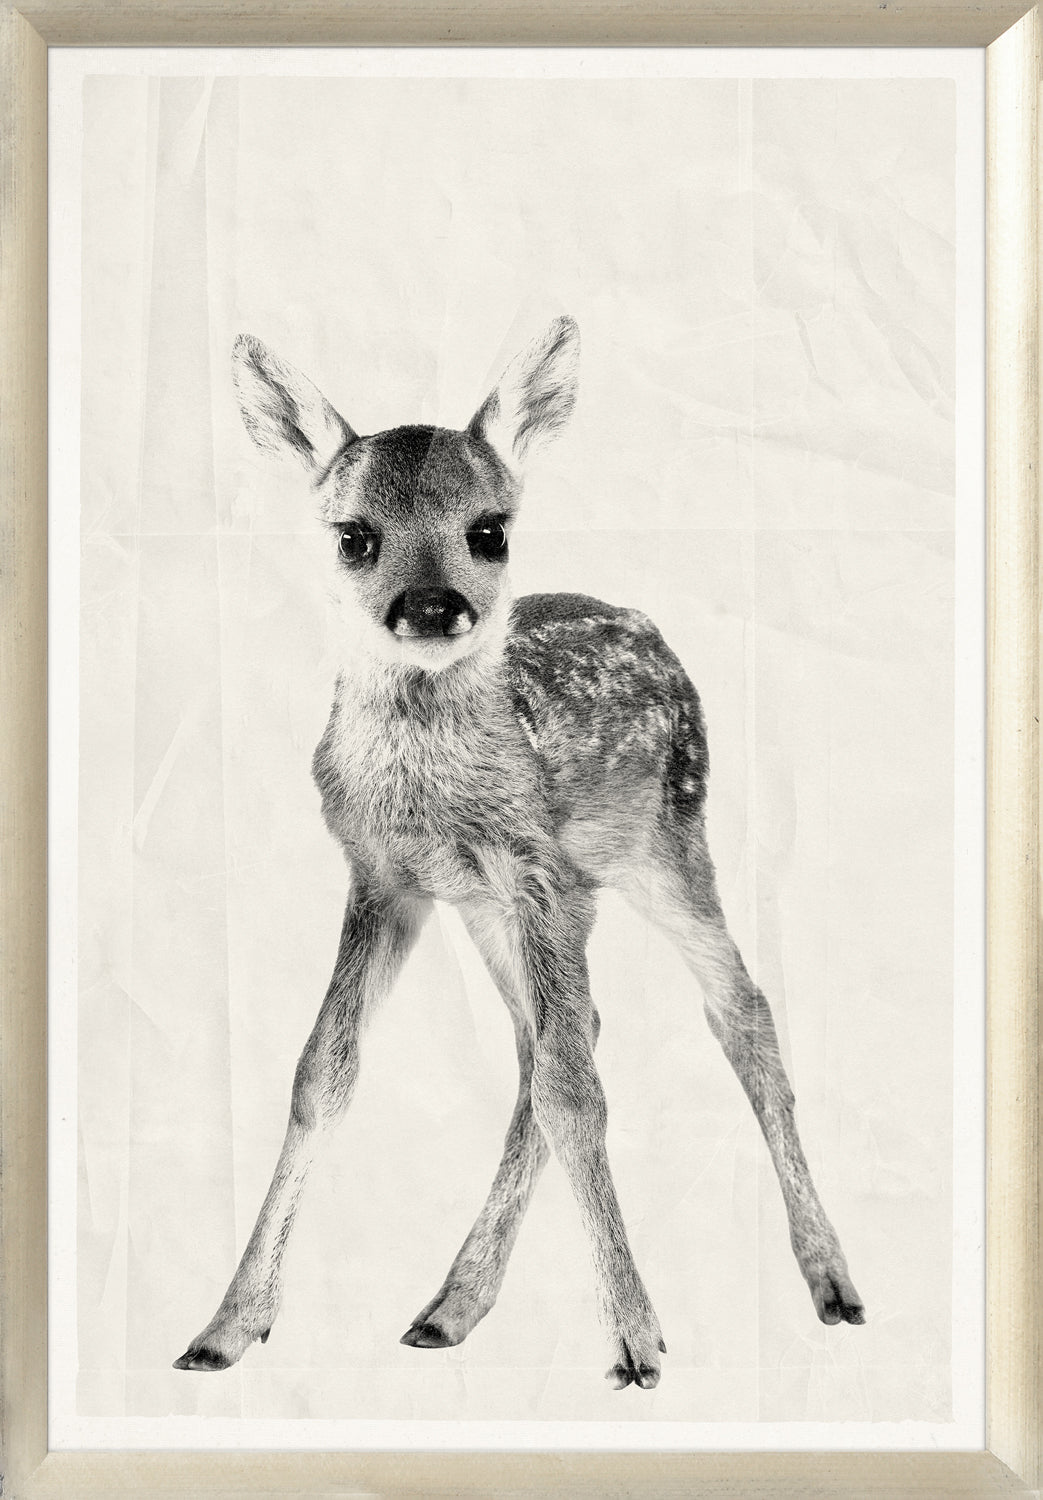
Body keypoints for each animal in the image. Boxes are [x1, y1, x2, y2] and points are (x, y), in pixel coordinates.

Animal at [173, 316, 864, 1391]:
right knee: (558, 1037)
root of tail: (651, 628)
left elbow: (574, 1093)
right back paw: (449, 1306)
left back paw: (830, 1281)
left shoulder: (538, 872)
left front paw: (634, 1340)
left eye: (488, 530)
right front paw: (227, 1325)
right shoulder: (388, 879)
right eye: (353, 535)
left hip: (665, 842)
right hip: (508, 909)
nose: (430, 607)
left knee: (732, 1010)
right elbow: (322, 1072)